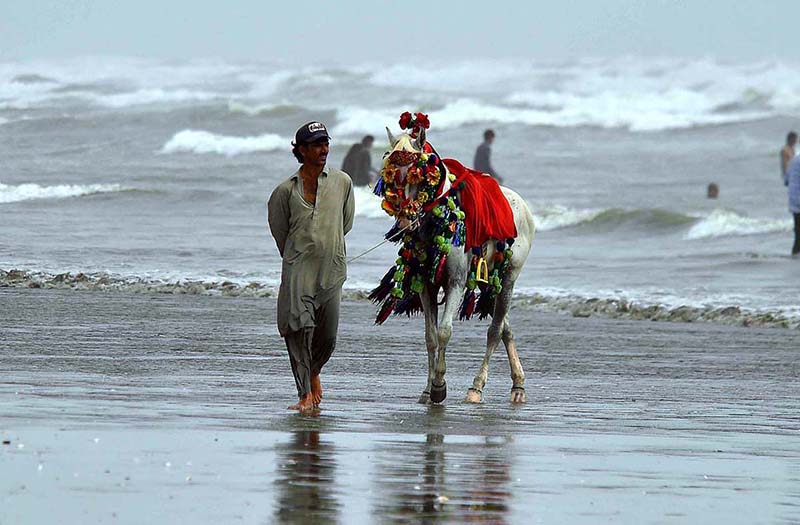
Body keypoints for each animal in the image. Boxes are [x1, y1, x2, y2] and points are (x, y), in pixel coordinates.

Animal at [370, 112, 536, 404]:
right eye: (390, 177)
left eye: (418, 177)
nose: (405, 223)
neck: (439, 221)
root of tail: (523, 207)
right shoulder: (426, 284)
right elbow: (430, 337)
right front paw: (427, 389)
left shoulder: (456, 282)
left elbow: (445, 331)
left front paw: (439, 385)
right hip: (490, 278)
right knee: (505, 327)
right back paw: (518, 383)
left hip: (508, 276)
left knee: (495, 330)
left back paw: (477, 387)